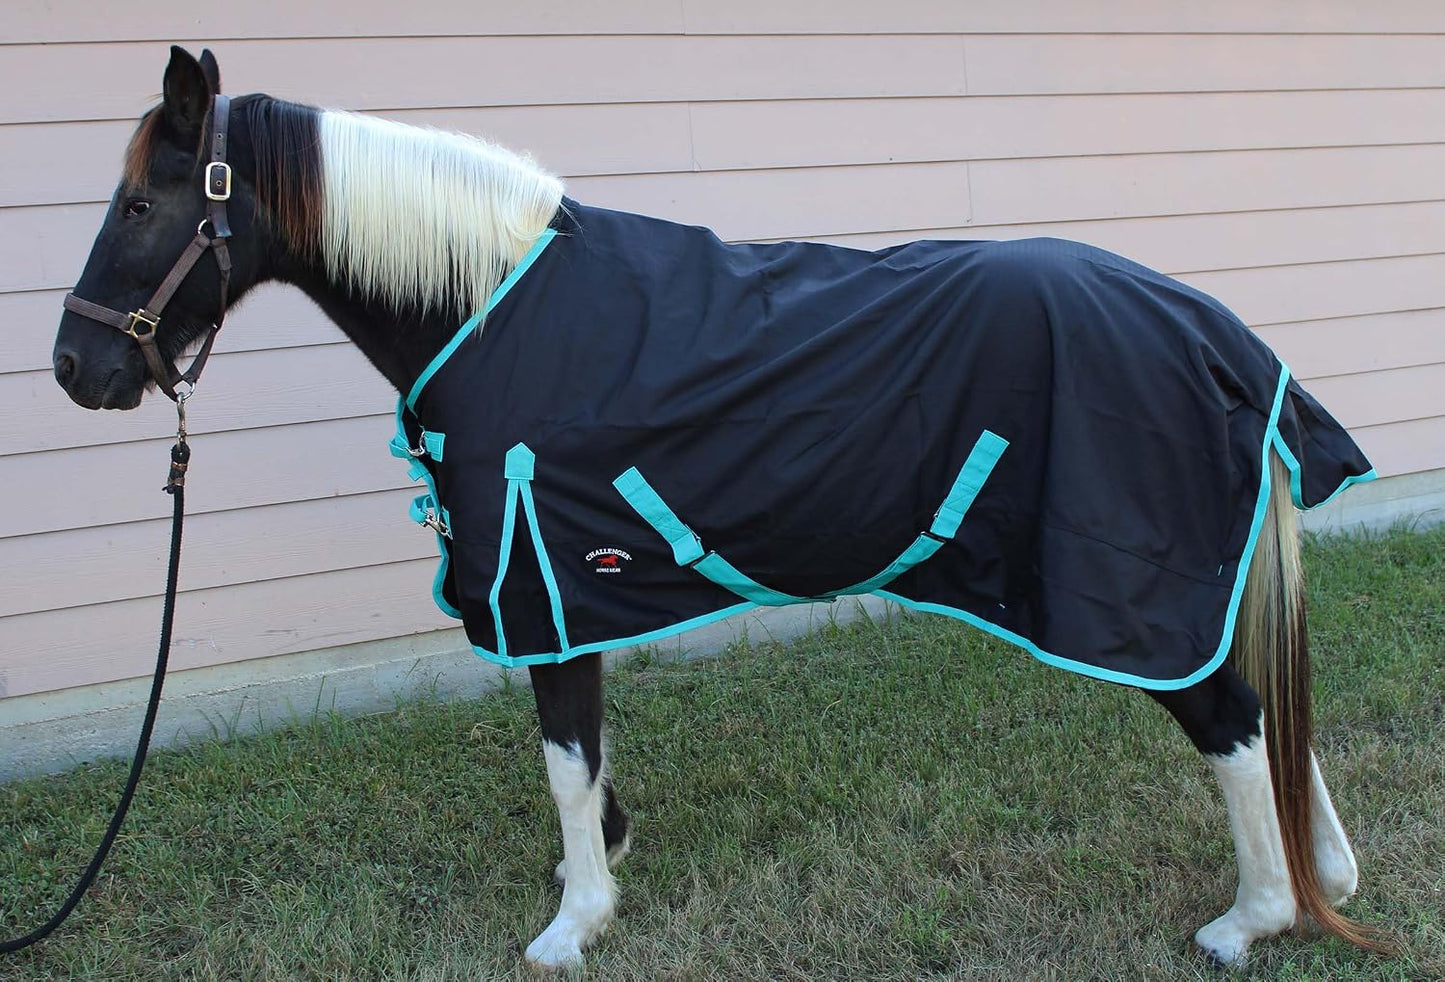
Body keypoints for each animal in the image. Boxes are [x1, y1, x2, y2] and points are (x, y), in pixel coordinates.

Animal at [51, 47, 1388, 970]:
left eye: (140, 207)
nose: (77, 369)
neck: (495, 307)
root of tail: (1205, 326)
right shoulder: (573, 590)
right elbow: (583, 757)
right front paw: (603, 857)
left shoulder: (542, 584)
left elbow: (561, 754)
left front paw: (573, 922)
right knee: (1264, 706)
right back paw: (1325, 874)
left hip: (1129, 600)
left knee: (1231, 720)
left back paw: (1253, 917)